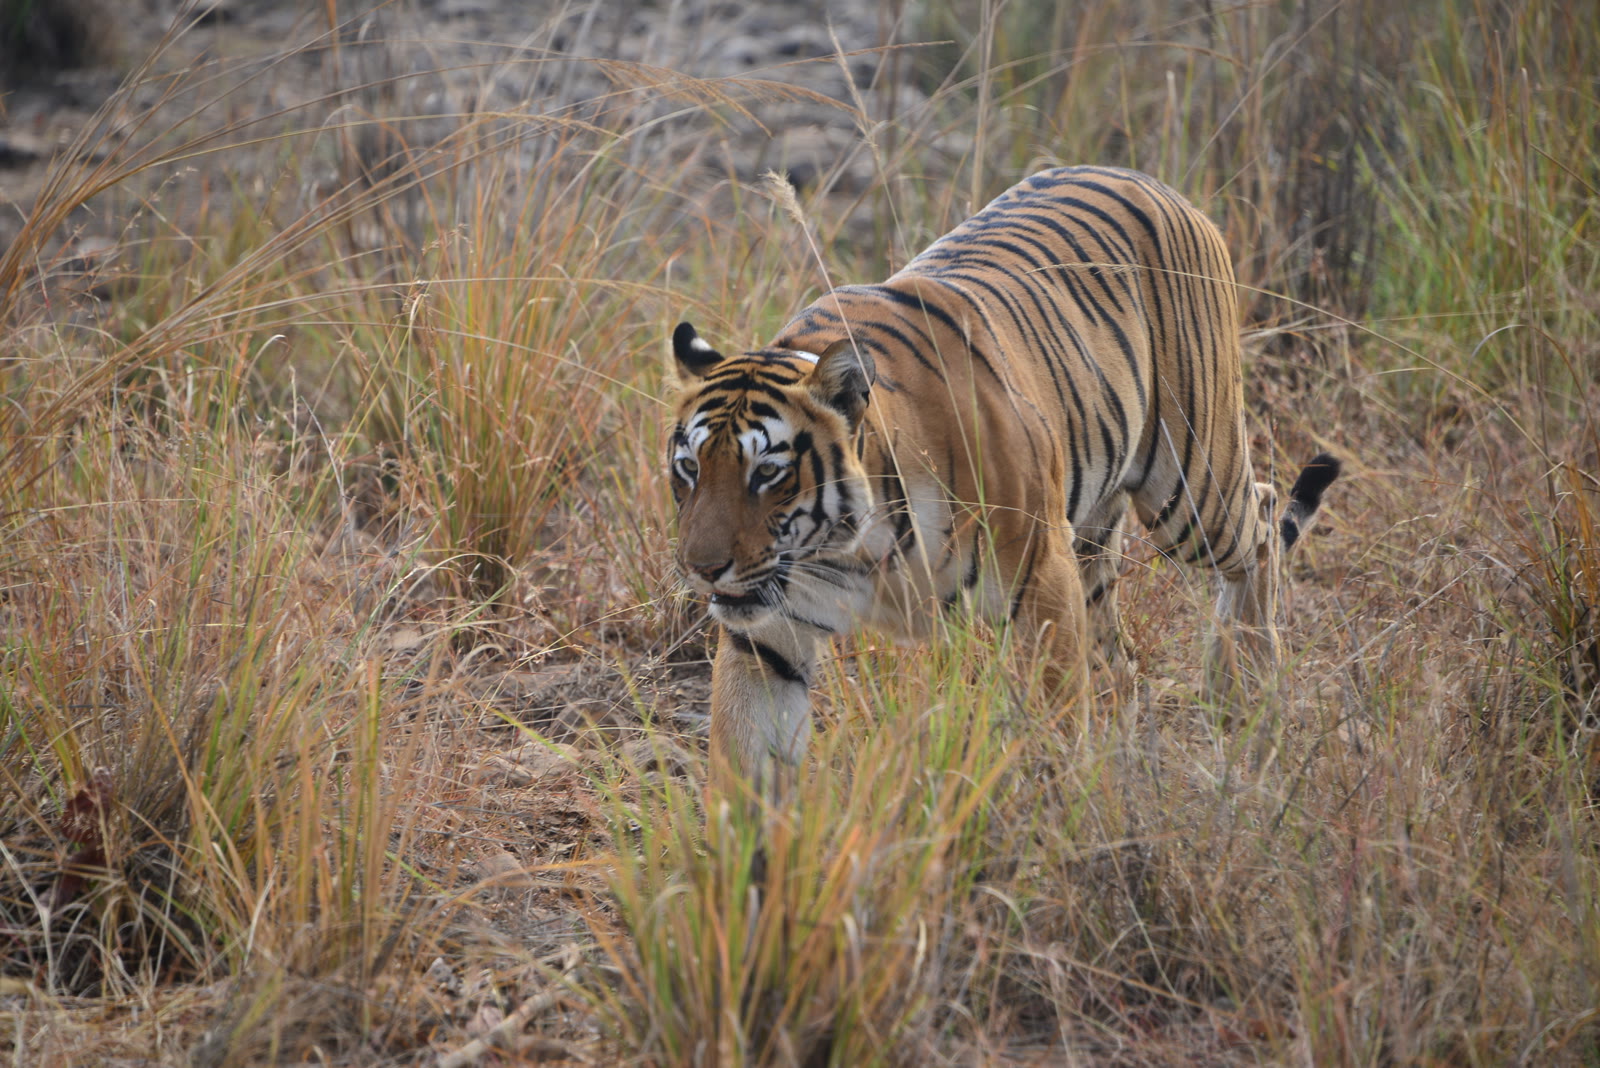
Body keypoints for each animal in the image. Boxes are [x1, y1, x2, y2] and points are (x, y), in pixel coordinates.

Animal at [667, 165, 1340, 794]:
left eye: (768, 473)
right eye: (690, 469)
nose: (702, 569)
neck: (852, 549)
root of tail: (1153, 182)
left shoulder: (1043, 580)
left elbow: (1060, 725)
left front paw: (1065, 818)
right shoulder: (768, 635)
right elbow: (744, 763)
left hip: (1189, 484)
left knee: (1261, 520)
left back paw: (1243, 693)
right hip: (1095, 533)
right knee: (1118, 664)